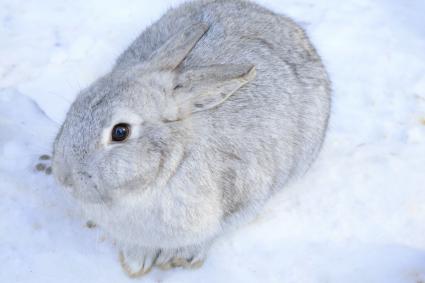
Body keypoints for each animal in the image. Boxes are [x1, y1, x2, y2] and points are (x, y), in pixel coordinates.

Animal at [52, 0, 332, 278]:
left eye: (120, 132)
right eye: (78, 100)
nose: (64, 176)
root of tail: (277, 18)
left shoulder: (244, 199)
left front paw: (179, 258)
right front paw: (136, 262)